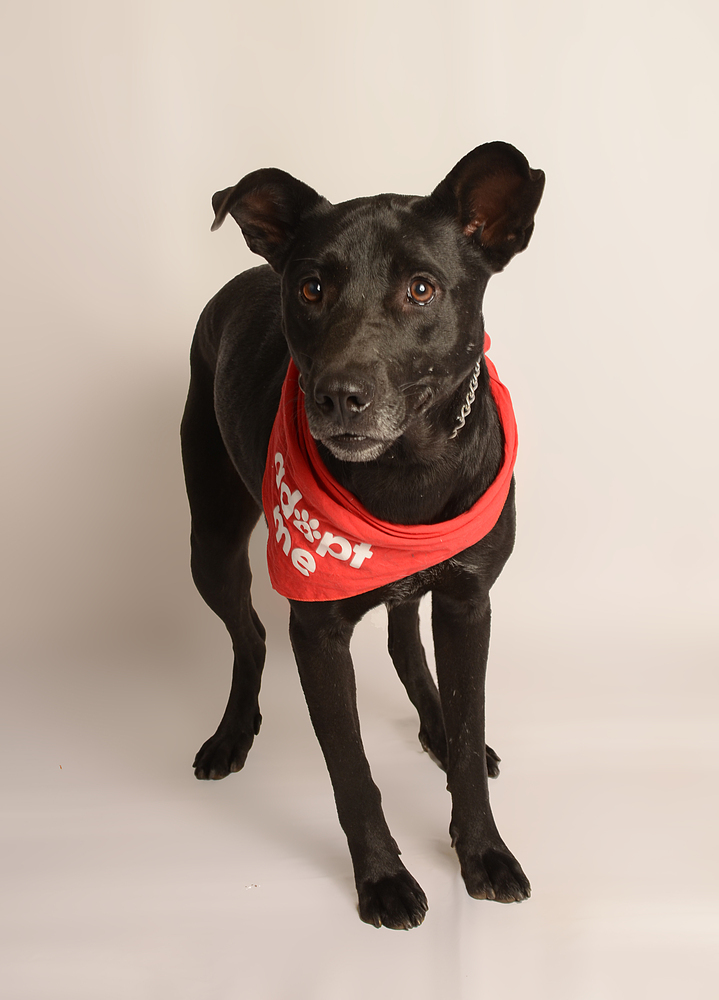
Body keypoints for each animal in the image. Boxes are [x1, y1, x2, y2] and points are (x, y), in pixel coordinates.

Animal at [181, 143, 544, 928]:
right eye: (312, 287)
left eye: (421, 289)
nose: (339, 396)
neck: (404, 470)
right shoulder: (316, 630)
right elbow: (351, 769)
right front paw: (382, 877)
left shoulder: (468, 600)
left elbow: (466, 733)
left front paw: (482, 850)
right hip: (210, 543)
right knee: (249, 634)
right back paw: (232, 732)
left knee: (406, 641)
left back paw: (434, 724)